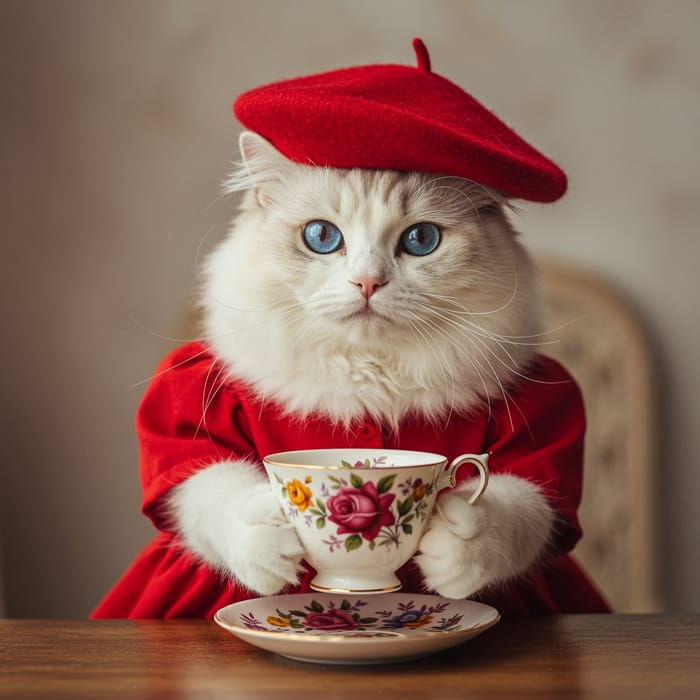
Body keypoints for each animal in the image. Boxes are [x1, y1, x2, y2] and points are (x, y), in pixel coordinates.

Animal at [171, 133, 556, 600]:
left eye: (421, 238)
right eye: (320, 236)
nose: (367, 283)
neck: (368, 377)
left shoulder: (538, 464)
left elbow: (510, 510)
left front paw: (455, 547)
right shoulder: (196, 442)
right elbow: (217, 493)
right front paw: (268, 543)